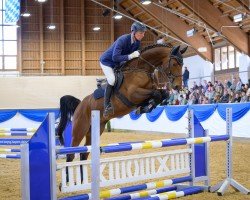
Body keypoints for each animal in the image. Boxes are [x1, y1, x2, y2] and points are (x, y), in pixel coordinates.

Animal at [57, 44, 187, 162]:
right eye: (174, 64)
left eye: (182, 64)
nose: (178, 87)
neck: (141, 69)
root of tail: (79, 105)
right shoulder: (134, 94)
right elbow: (157, 94)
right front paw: (145, 107)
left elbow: (163, 94)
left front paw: (146, 107)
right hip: (80, 129)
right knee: (71, 153)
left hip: (96, 129)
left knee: (84, 153)